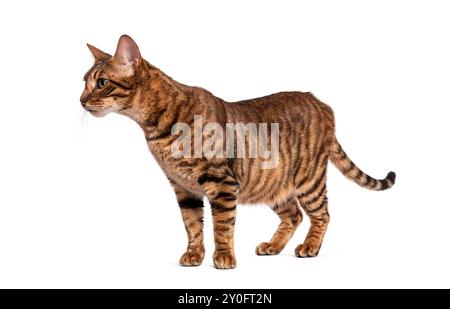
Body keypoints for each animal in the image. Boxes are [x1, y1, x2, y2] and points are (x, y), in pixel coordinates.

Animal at [80, 35, 394, 268]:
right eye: (84, 82)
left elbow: (221, 225)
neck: (157, 126)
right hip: (274, 183)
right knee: (294, 215)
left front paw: (223, 257)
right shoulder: (183, 188)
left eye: (102, 83)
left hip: (309, 179)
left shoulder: (221, 183)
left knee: (322, 215)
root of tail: (321, 103)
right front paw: (194, 254)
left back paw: (310, 246)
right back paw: (273, 245)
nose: (81, 99)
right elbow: (192, 226)